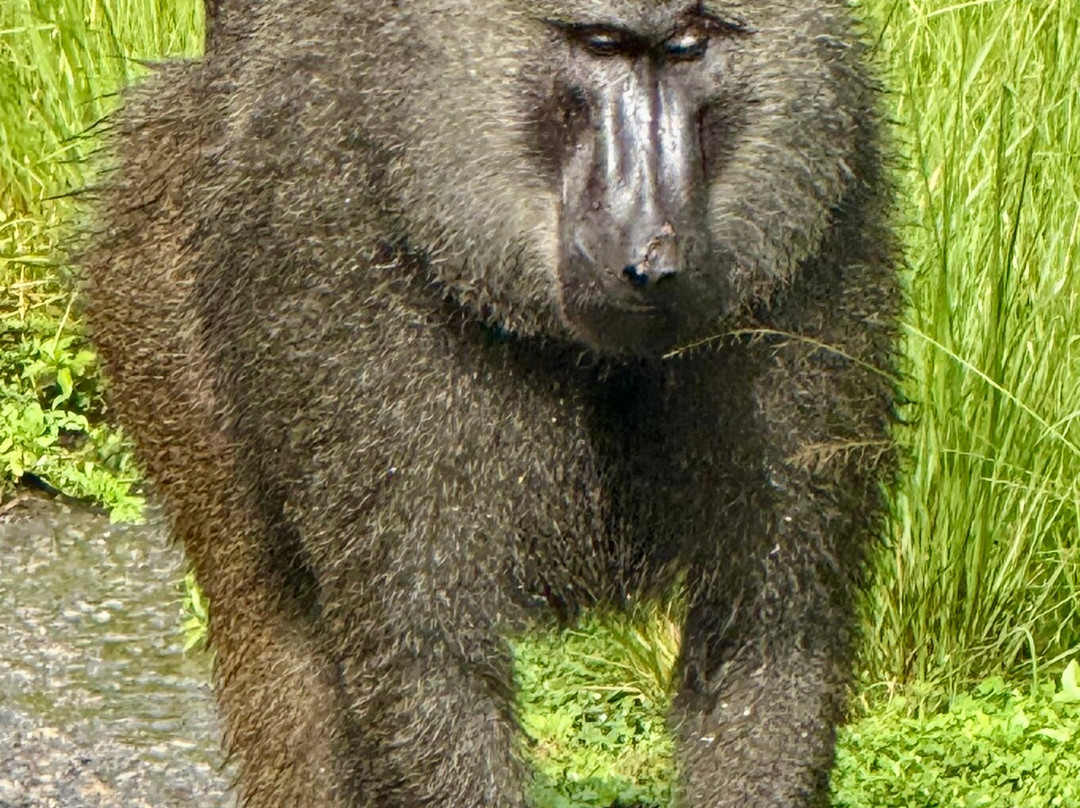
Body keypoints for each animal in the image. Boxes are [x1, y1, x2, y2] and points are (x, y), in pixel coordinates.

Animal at [81, 0, 899, 806]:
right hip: (155, 271)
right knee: (274, 631)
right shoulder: (349, 280)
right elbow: (423, 660)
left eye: (687, 46)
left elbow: (767, 639)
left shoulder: (817, 259)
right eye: (601, 43)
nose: (653, 258)